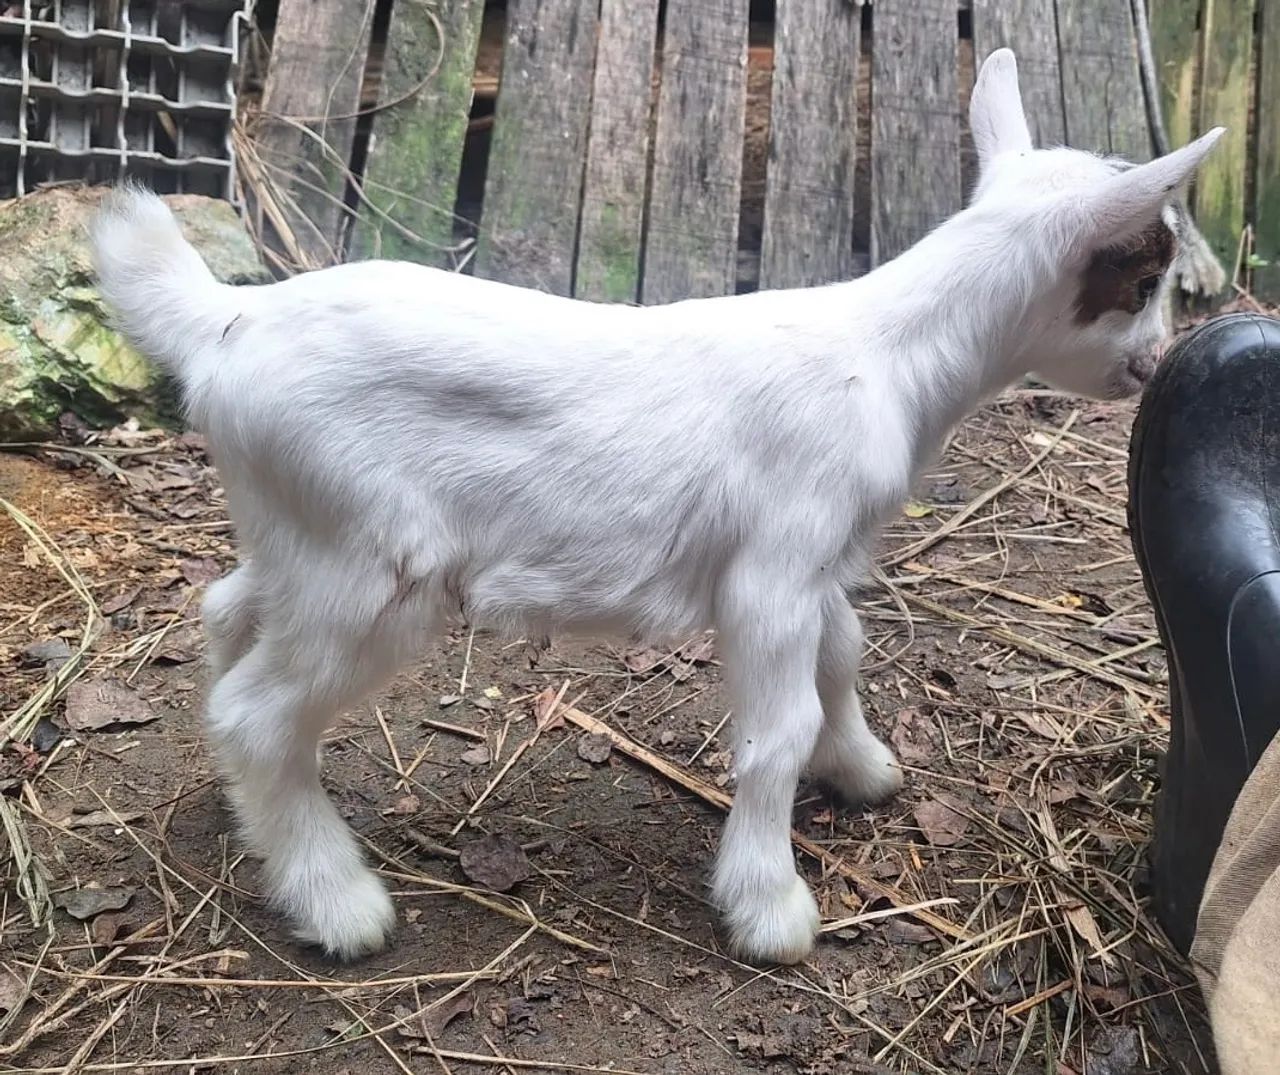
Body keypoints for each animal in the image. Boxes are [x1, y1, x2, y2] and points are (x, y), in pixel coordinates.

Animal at [91, 50, 1222, 966]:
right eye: (1145, 274)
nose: (1154, 363)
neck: (892, 354)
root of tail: (226, 320)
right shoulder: (773, 572)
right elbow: (777, 726)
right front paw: (769, 903)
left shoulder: (810, 563)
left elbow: (842, 654)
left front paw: (859, 768)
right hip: (373, 566)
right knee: (259, 712)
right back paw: (335, 900)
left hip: (299, 531)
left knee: (227, 614)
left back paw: (249, 821)